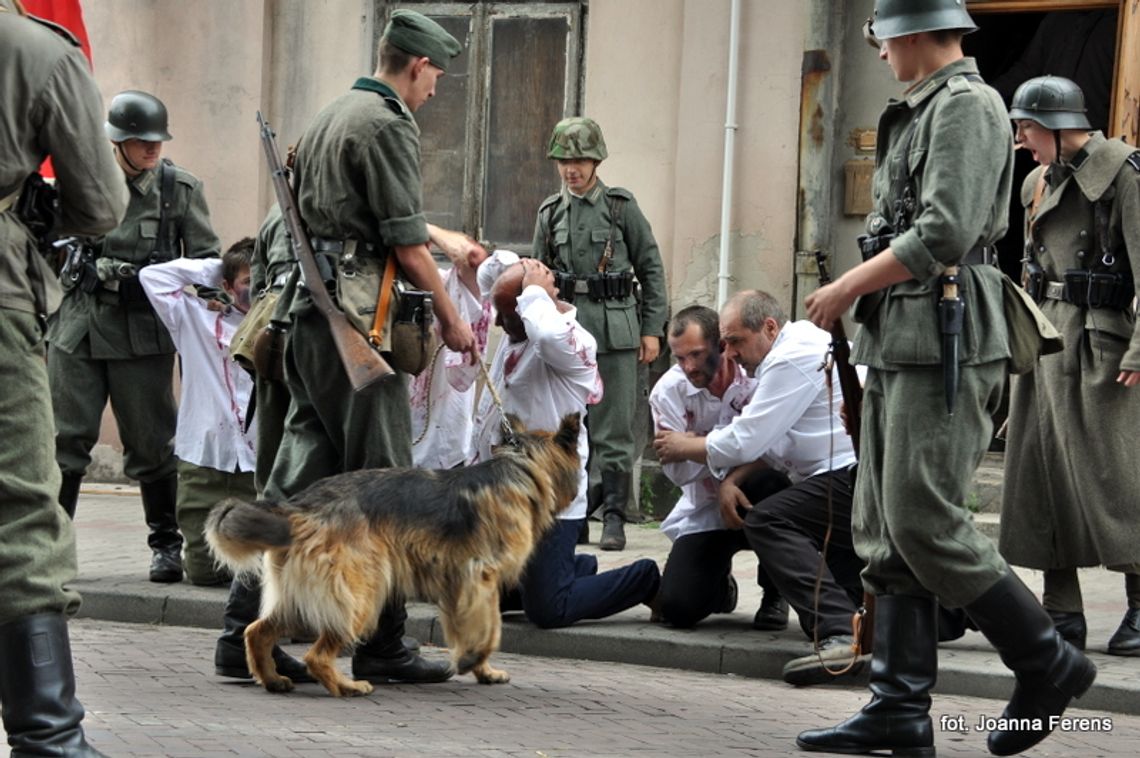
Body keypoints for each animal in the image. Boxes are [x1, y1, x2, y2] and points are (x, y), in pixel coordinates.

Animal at [202, 410, 579, 693]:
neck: (522, 467)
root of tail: (299, 506)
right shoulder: (480, 580)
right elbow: (490, 630)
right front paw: (474, 661)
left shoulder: (461, 588)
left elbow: (472, 629)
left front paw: (482, 670)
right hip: (361, 592)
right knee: (317, 656)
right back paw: (347, 686)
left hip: (302, 597)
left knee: (256, 631)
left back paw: (272, 678)